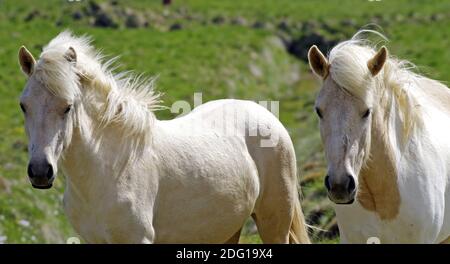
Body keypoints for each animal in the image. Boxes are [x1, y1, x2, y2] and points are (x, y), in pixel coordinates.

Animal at [16, 30, 310, 243]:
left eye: (68, 107)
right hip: (227, 229)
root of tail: (266, 114)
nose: (40, 172)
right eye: (23, 106)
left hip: (274, 225)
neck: (109, 170)